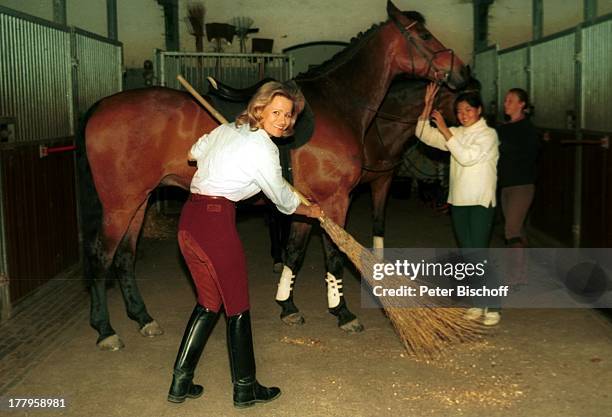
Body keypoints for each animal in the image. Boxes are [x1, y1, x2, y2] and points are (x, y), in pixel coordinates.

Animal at [77, 1, 468, 350]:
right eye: (425, 35)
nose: (463, 73)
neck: (338, 105)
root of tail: (100, 106)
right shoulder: (334, 200)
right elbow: (334, 255)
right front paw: (342, 312)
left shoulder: (305, 202)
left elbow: (294, 252)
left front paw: (288, 306)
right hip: (120, 204)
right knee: (102, 256)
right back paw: (105, 330)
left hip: (138, 201)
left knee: (124, 257)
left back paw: (143, 318)